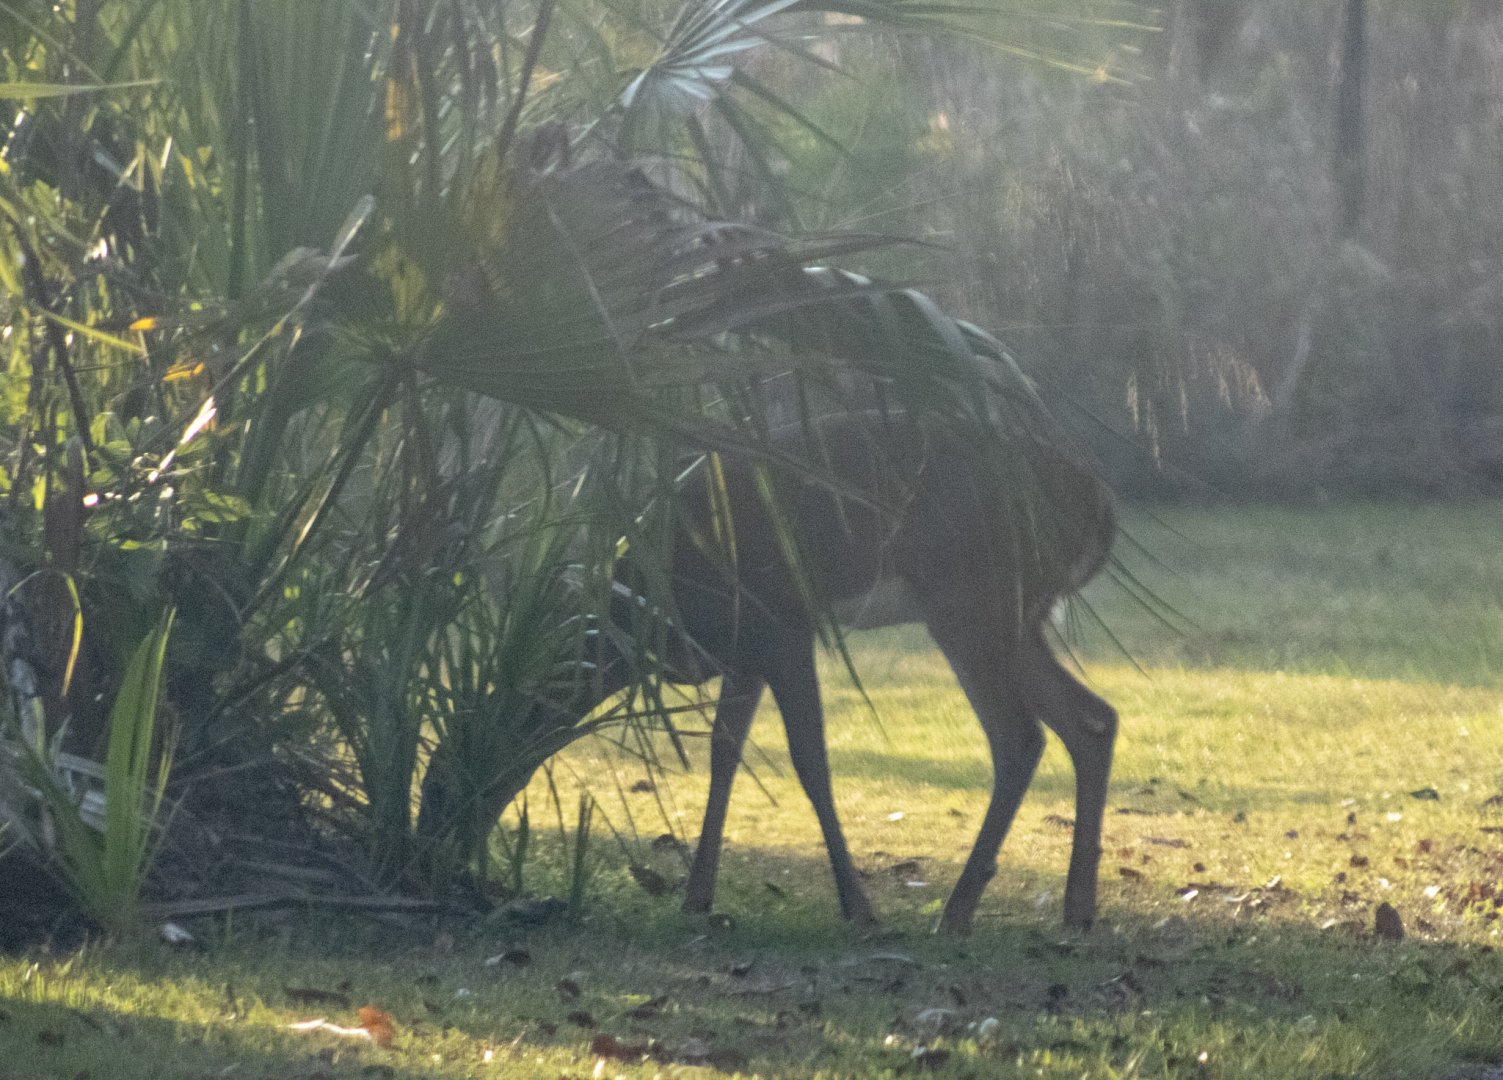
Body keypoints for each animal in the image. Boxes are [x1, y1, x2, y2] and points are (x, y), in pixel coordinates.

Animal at [422, 409, 1118, 933]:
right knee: (1092, 718)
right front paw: (697, 897)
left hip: (967, 594)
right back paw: (1075, 911)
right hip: (1010, 611)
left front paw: (858, 908)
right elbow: (724, 755)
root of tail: (1099, 507)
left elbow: (809, 760)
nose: (437, 843)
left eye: (444, 777)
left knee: (1020, 735)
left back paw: (956, 912)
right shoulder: (742, 651)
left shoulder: (782, 622)